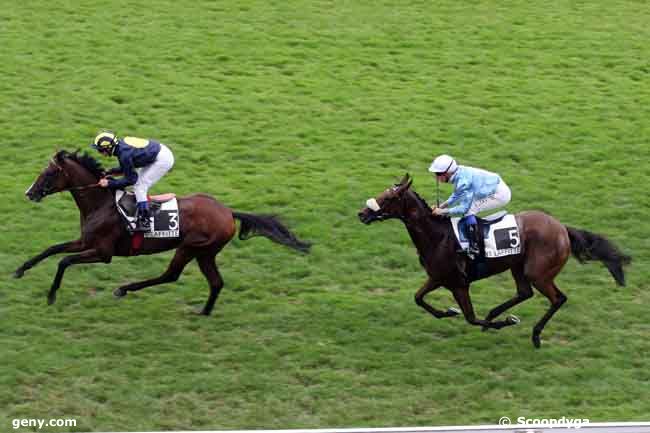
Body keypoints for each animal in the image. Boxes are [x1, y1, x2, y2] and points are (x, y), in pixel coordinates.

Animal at [15, 150, 308, 312]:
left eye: (49, 173)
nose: (29, 193)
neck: (101, 203)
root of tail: (228, 212)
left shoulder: (103, 252)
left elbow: (64, 261)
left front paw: (51, 295)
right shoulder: (84, 241)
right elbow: (52, 249)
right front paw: (20, 270)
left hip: (191, 247)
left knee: (171, 275)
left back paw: (124, 289)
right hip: (205, 253)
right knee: (215, 282)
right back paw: (204, 312)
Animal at [356, 174, 632, 346]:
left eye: (388, 198)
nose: (362, 213)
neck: (438, 236)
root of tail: (562, 228)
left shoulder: (459, 284)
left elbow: (469, 317)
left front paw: (504, 322)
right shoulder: (438, 277)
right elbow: (419, 298)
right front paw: (449, 311)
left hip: (538, 273)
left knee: (557, 298)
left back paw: (533, 334)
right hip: (519, 267)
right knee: (524, 293)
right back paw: (495, 316)